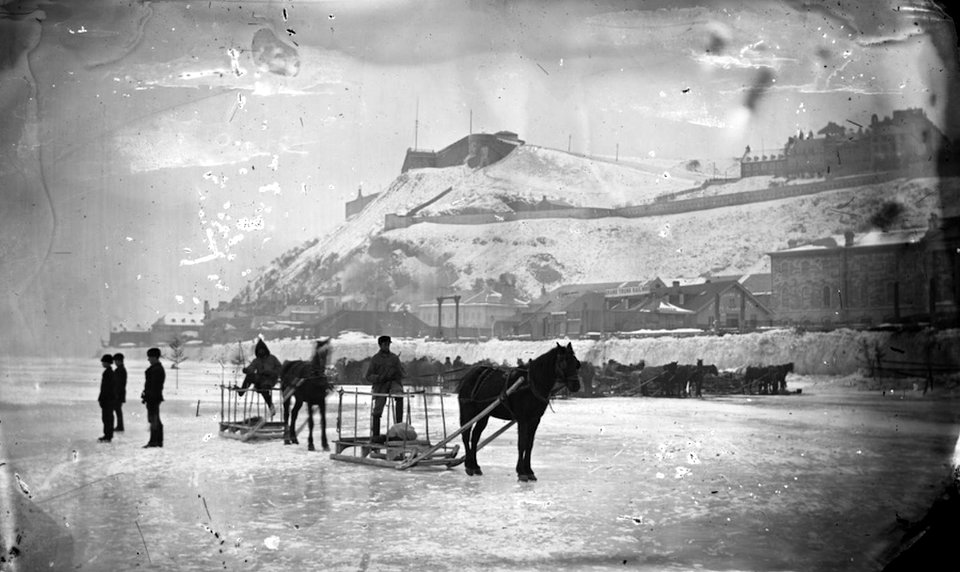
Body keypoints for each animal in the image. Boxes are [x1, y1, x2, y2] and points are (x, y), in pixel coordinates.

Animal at [460, 342, 584, 480]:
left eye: (576, 363)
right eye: (563, 362)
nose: (576, 385)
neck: (532, 384)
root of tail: (468, 375)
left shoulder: (535, 419)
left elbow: (529, 445)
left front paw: (529, 471)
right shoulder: (523, 419)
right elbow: (522, 443)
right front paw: (521, 472)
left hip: (484, 414)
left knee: (475, 436)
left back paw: (475, 466)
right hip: (467, 411)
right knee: (466, 435)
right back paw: (469, 465)